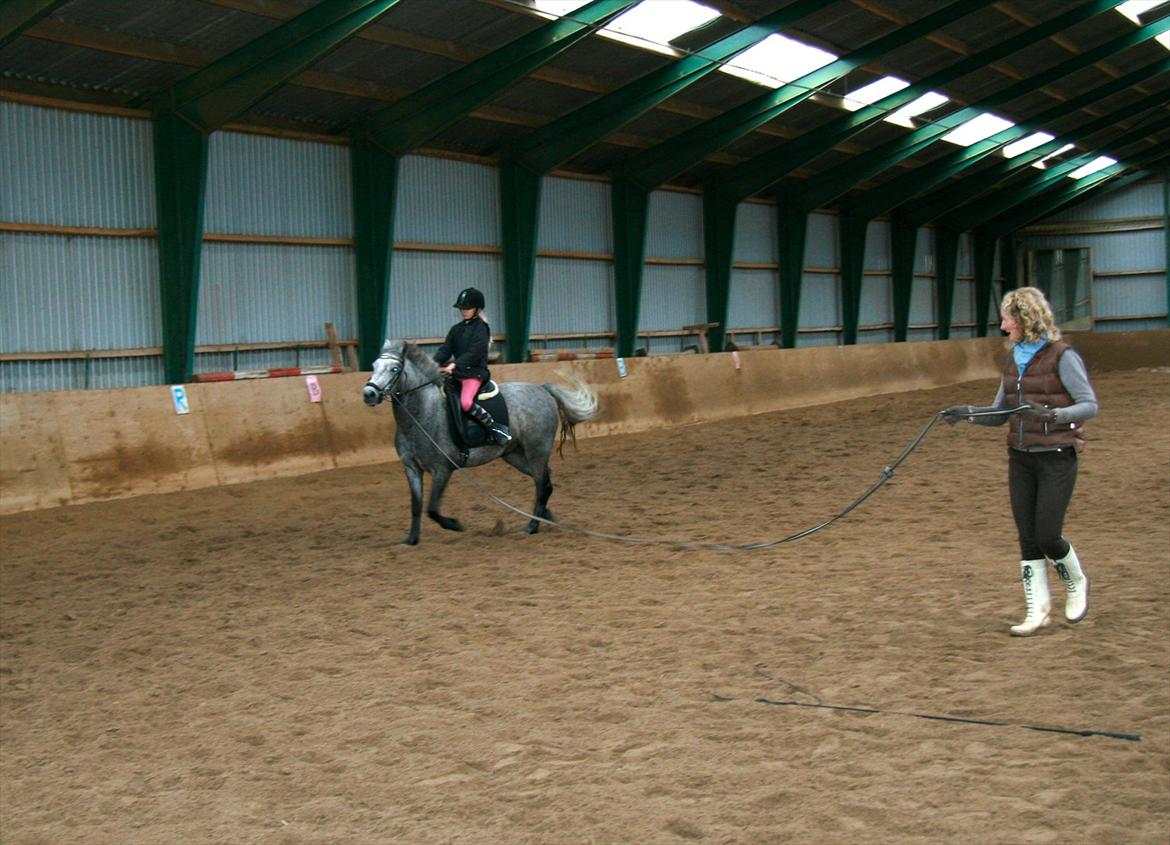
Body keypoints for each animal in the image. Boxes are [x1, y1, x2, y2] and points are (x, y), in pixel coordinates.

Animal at [360, 339, 599, 543]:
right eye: (373, 365)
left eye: (394, 369)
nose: (369, 394)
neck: (421, 414)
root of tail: (541, 389)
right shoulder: (411, 469)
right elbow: (417, 506)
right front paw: (411, 540)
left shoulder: (442, 469)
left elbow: (432, 508)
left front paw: (454, 524)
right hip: (514, 455)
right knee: (544, 482)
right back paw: (543, 516)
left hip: (536, 451)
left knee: (542, 484)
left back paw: (532, 526)